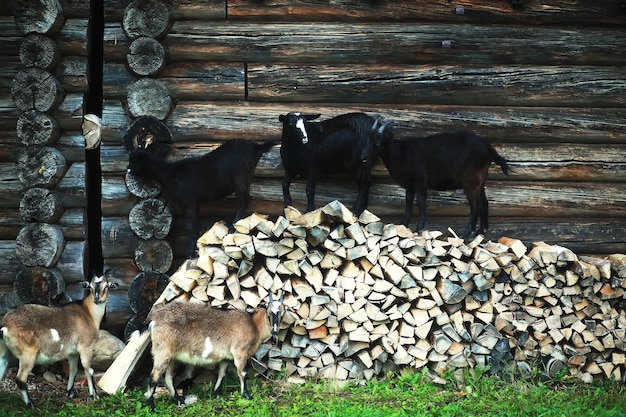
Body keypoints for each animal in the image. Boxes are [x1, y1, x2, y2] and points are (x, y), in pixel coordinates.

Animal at [0, 272, 117, 408]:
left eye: (106, 286)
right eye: (91, 287)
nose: (97, 299)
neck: (88, 314)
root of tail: (5, 325)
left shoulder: (73, 352)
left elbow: (73, 370)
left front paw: (70, 393)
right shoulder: (86, 346)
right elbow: (89, 369)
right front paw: (95, 395)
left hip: (4, 352)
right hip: (28, 354)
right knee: (20, 379)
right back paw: (31, 405)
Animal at [127, 139, 276, 256]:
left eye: (134, 160)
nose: (128, 169)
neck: (171, 174)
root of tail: (257, 147)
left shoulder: (189, 202)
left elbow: (190, 227)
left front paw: (190, 254)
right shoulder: (195, 204)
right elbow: (195, 227)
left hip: (240, 176)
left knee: (244, 201)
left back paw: (233, 227)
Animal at [145, 294, 284, 408]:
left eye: (282, 312)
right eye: (269, 312)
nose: (275, 330)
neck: (254, 325)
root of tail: (154, 320)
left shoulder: (226, 357)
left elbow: (222, 373)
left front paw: (217, 393)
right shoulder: (239, 352)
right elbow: (243, 373)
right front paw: (247, 395)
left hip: (172, 355)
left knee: (168, 377)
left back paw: (178, 399)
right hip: (163, 351)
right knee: (154, 375)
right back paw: (151, 405)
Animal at [368, 121, 510, 237]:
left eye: (378, 143)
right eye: (368, 140)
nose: (364, 156)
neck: (401, 153)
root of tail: (491, 151)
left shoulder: (421, 182)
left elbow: (420, 202)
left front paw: (419, 228)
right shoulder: (410, 185)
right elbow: (408, 203)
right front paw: (403, 224)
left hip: (471, 182)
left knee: (475, 207)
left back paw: (466, 234)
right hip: (479, 181)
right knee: (484, 202)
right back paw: (482, 230)